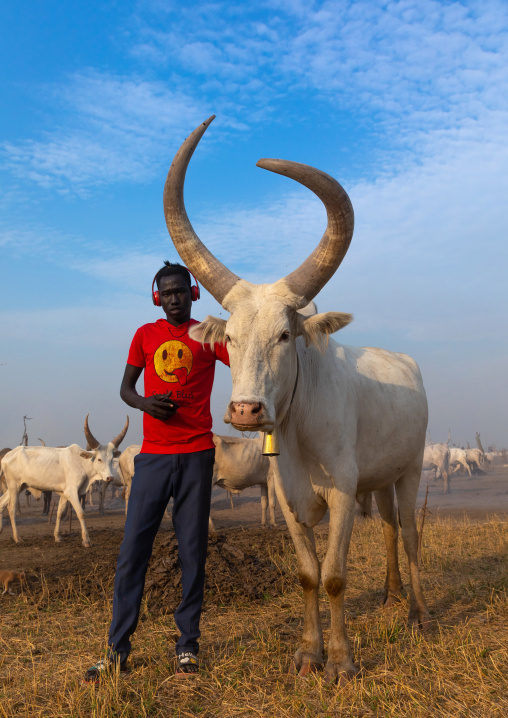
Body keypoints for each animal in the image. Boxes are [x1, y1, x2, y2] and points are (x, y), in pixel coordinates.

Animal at [0, 416, 129, 547]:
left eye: (112, 459)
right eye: (99, 459)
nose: (110, 478)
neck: (81, 463)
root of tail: (7, 456)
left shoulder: (64, 493)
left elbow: (60, 513)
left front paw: (58, 536)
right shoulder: (72, 492)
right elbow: (81, 513)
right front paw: (86, 540)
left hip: (19, 486)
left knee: (1, 504)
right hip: (14, 486)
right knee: (11, 508)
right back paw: (17, 538)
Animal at [161, 116, 430, 682]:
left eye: (285, 336)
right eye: (229, 337)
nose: (245, 411)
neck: (298, 429)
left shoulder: (343, 492)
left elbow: (334, 576)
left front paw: (342, 661)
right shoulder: (286, 498)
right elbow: (308, 575)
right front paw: (309, 654)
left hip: (411, 466)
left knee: (410, 532)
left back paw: (418, 613)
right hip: (381, 478)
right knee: (390, 529)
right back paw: (392, 596)